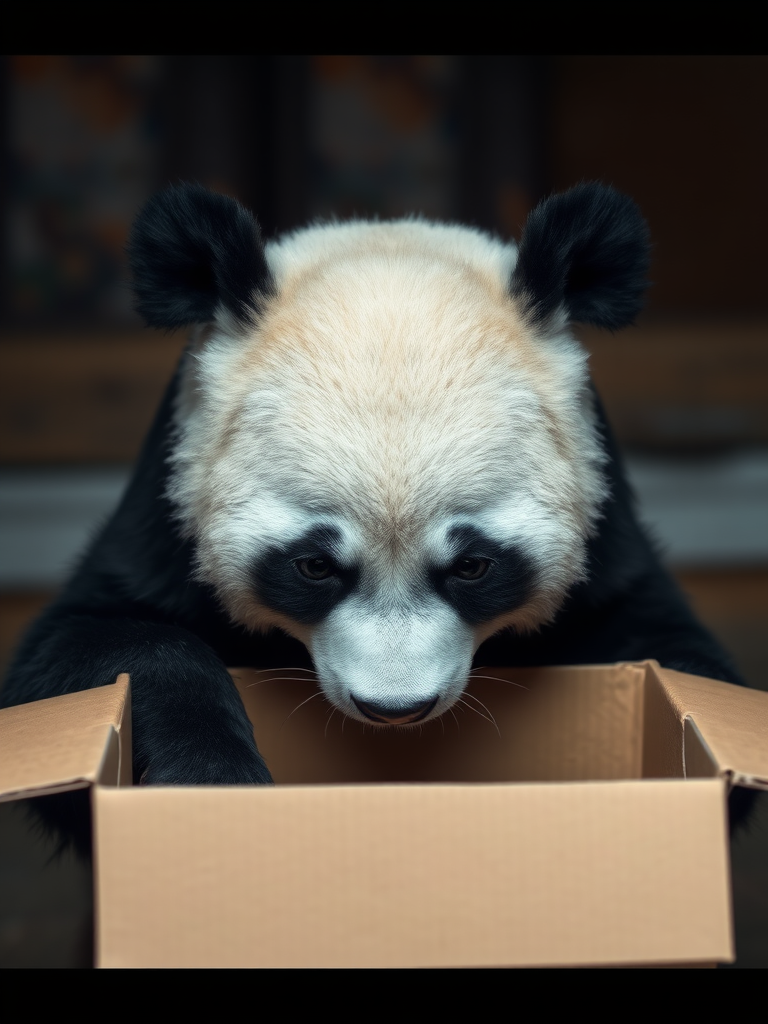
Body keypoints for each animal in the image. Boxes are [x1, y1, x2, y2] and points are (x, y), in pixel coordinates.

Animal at [0, 184, 749, 819]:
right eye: (313, 565)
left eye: (474, 565)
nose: (395, 709)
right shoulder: (168, 505)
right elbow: (85, 648)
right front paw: (210, 780)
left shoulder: (605, 522)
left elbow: (676, 657)